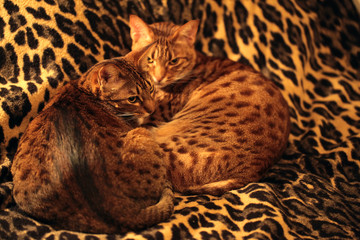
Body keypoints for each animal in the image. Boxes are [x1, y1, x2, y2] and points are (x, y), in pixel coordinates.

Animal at [10, 58, 174, 234]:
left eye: (150, 89)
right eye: (132, 99)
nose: (152, 109)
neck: (83, 88)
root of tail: (120, 210)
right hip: (142, 134)